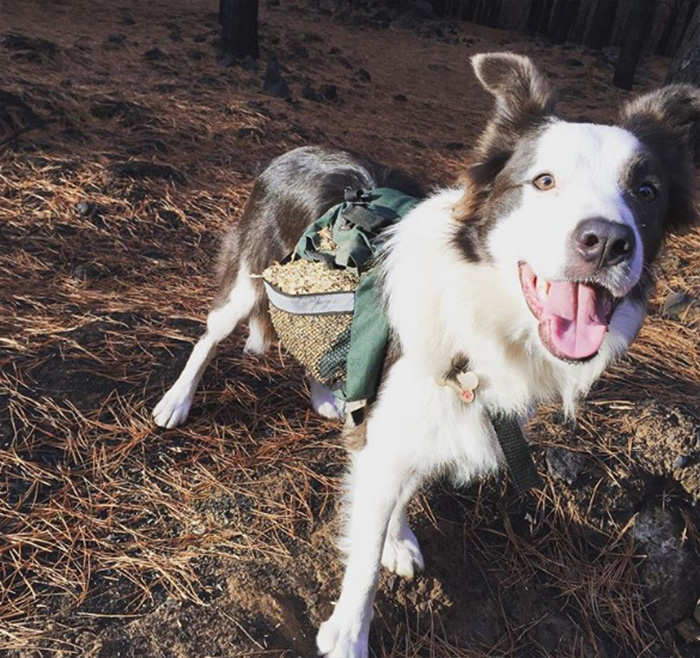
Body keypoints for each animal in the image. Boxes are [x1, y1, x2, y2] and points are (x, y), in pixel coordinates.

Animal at [153, 52, 700, 656]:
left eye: (646, 192)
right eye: (544, 181)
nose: (606, 242)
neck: (481, 318)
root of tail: (290, 152)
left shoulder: (428, 422)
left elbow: (400, 492)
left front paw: (396, 536)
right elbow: (365, 557)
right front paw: (349, 630)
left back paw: (326, 395)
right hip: (246, 282)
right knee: (209, 336)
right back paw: (176, 401)